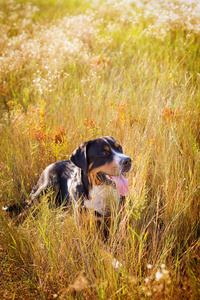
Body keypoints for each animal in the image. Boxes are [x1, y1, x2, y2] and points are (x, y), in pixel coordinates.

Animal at [2, 136, 133, 220]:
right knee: (22, 213)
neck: (102, 191)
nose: (128, 160)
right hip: (48, 185)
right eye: (104, 153)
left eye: (120, 148)